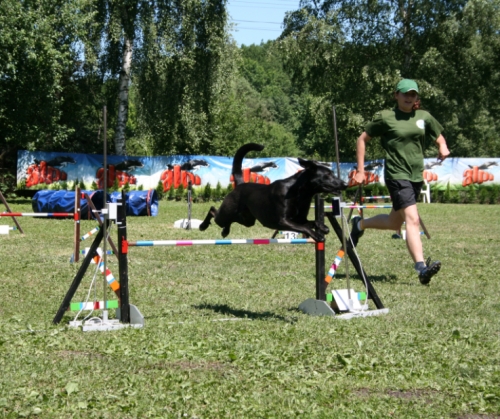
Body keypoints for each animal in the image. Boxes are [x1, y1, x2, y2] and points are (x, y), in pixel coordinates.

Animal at [197, 144, 346, 243]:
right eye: (328, 174)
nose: (345, 184)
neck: (300, 193)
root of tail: (240, 184)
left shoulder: (300, 218)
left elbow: (311, 222)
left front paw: (323, 227)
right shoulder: (283, 221)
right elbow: (304, 227)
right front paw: (318, 236)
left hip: (247, 219)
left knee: (229, 221)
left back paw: (225, 230)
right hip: (228, 211)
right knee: (213, 211)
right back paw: (202, 226)